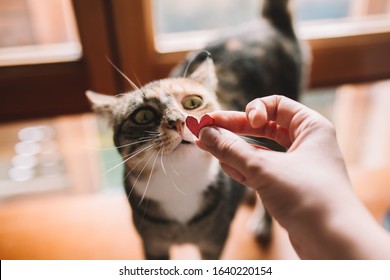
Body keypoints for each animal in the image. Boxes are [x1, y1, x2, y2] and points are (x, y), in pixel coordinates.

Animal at [86, 0, 308, 260]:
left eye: (192, 102)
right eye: (143, 116)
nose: (178, 121)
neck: (181, 185)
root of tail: (269, 23)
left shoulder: (213, 243)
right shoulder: (153, 245)